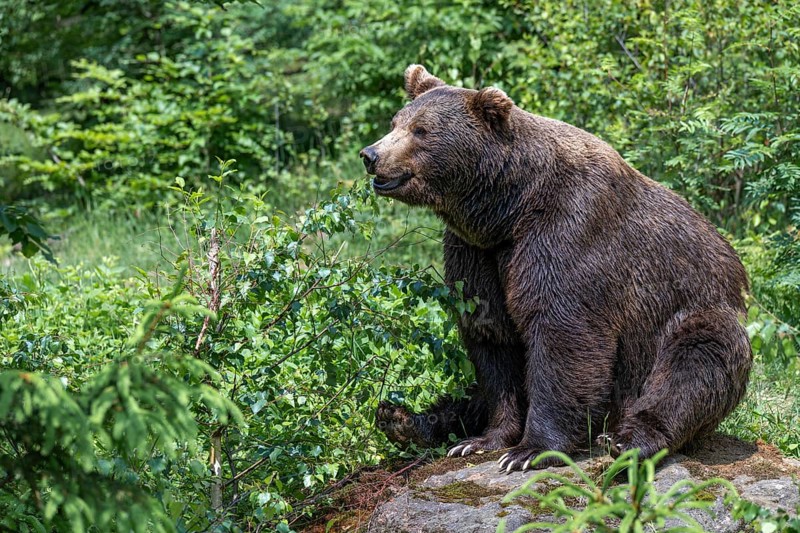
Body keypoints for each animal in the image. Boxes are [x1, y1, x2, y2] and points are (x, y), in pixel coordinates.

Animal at [360, 65, 752, 472]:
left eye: (421, 130)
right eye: (396, 121)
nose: (370, 154)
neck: (508, 208)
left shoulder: (570, 233)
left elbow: (563, 336)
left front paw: (529, 450)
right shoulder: (477, 252)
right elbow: (492, 339)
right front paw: (483, 440)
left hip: (694, 315)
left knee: (693, 365)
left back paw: (628, 439)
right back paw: (404, 419)